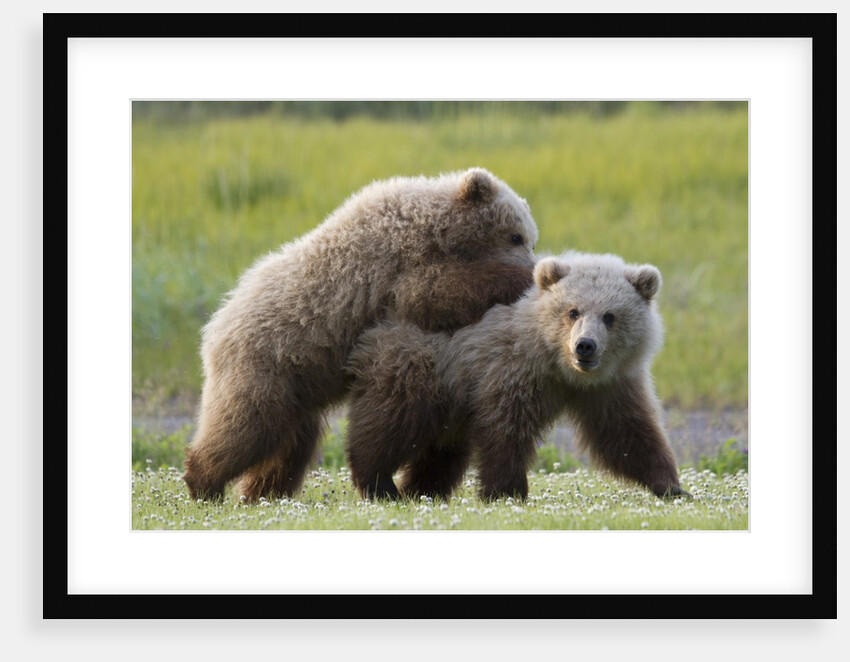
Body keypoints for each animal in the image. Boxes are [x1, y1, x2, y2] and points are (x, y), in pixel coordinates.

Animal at [182, 168, 539, 501]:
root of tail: (215, 326)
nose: (532, 257)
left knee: (290, 445)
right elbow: (432, 292)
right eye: (516, 237)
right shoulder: (402, 260)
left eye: (528, 238)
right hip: (265, 365)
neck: (440, 224)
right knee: (246, 427)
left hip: (299, 388)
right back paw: (204, 483)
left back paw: (261, 492)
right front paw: (521, 277)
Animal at [344, 251, 689, 501]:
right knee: (391, 423)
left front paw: (672, 486)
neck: (559, 368)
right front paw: (505, 492)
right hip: (420, 368)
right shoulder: (511, 369)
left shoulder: (610, 386)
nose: (585, 346)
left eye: (610, 316)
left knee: (443, 450)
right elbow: (506, 429)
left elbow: (628, 432)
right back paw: (380, 484)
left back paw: (423, 490)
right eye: (573, 311)